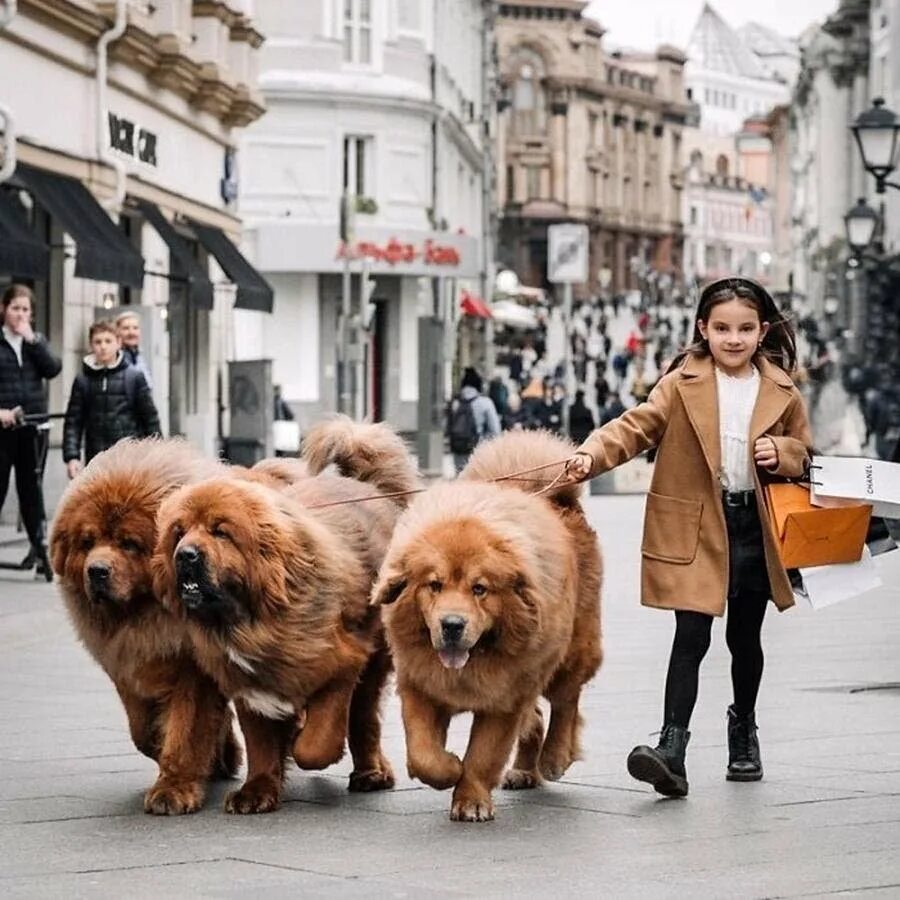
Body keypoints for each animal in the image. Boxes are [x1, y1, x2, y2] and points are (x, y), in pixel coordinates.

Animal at [48, 442, 239, 816]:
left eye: (129, 543)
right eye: (87, 542)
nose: (97, 571)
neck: (147, 616)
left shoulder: (194, 674)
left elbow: (185, 729)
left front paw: (174, 788)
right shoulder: (126, 666)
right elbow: (143, 730)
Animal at [153, 418, 420, 812]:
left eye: (220, 532)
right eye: (179, 532)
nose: (185, 554)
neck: (253, 620)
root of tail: (374, 491)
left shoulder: (343, 664)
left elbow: (317, 742)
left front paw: (303, 747)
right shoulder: (249, 688)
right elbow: (260, 745)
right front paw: (258, 789)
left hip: (373, 663)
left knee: (363, 719)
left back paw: (371, 773)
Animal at [372, 428, 604, 824]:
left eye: (479, 589)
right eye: (434, 585)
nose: (452, 624)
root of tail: (555, 498)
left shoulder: (504, 697)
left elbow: (483, 754)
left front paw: (471, 800)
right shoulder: (419, 683)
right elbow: (423, 753)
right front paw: (449, 766)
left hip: (570, 651)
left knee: (565, 701)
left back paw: (554, 757)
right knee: (536, 716)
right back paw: (524, 770)